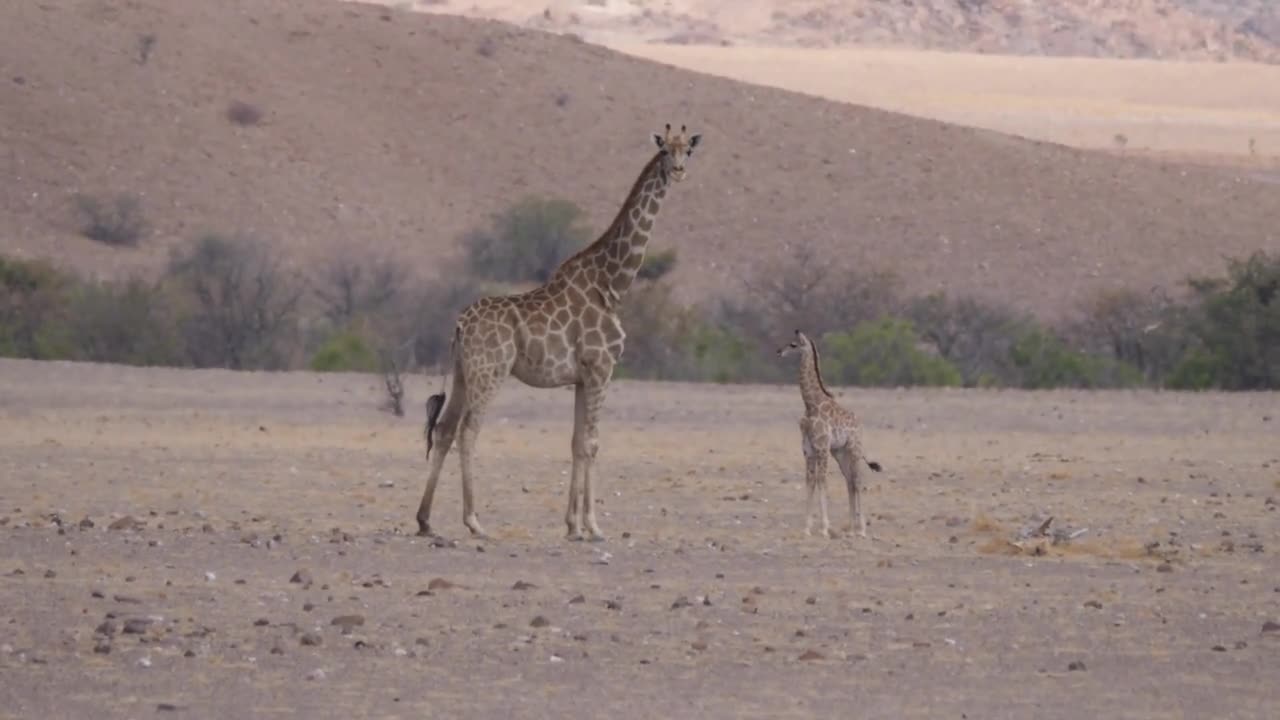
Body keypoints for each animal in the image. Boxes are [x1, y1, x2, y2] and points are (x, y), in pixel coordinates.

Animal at [417, 121, 701, 538]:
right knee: (469, 430)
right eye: (664, 150)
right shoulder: (601, 368)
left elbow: (576, 442)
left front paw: (572, 526)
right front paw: (594, 526)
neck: (613, 284)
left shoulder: (581, 377)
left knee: (444, 429)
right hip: (490, 372)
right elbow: (593, 443)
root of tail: (458, 325)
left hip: (461, 373)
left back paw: (424, 520)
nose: (679, 171)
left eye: (688, 151)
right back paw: (474, 521)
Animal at [773, 327, 885, 535]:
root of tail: (860, 424)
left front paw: (824, 527)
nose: (779, 351)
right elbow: (810, 481)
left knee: (858, 480)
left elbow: (821, 480)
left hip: (854, 449)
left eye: (793, 344)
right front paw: (807, 527)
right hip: (840, 452)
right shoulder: (808, 450)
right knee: (849, 480)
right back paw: (850, 527)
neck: (811, 404)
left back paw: (861, 529)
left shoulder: (822, 448)